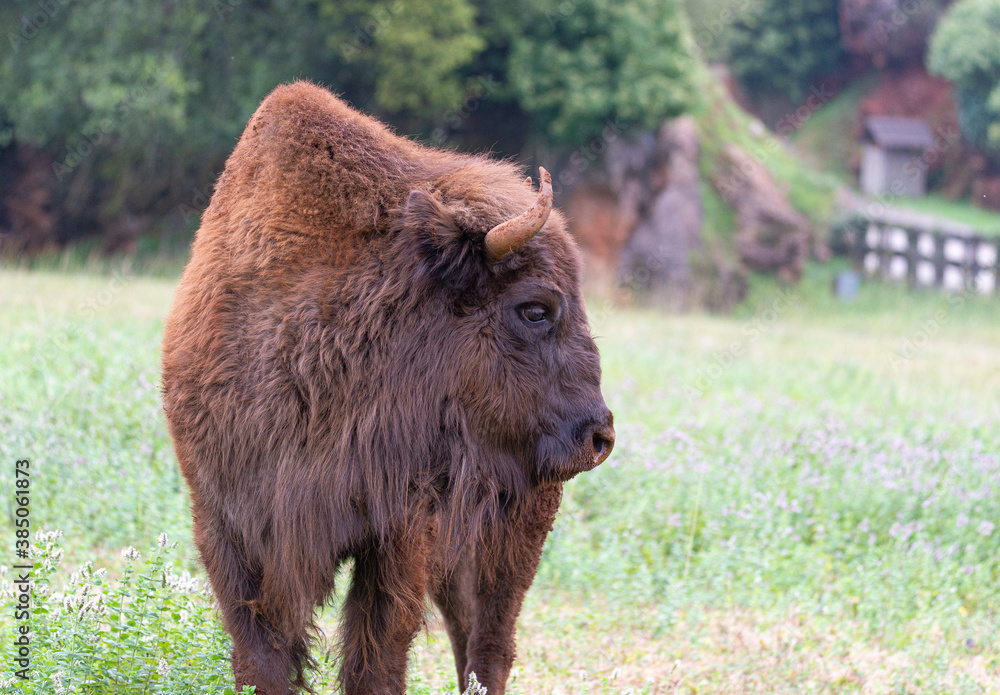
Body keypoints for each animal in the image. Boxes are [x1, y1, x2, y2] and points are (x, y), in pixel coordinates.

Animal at [161, 81, 615, 695]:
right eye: (535, 309)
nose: (599, 434)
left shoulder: (398, 532)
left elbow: (376, 653)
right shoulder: (229, 525)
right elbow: (262, 654)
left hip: (516, 528)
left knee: (491, 641)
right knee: (465, 630)